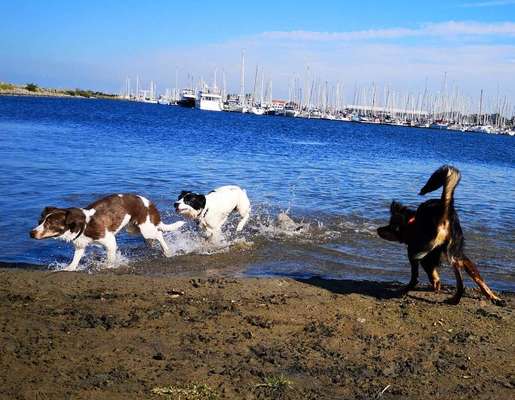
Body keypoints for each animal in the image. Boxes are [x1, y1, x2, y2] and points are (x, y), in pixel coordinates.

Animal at [29, 195, 184, 272]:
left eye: (50, 224)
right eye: (40, 221)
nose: (31, 233)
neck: (83, 224)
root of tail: (149, 202)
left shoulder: (109, 241)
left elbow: (110, 258)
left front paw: (109, 266)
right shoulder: (80, 244)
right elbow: (75, 259)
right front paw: (69, 268)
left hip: (146, 228)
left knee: (159, 234)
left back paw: (167, 251)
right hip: (133, 228)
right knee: (151, 238)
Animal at [378, 164, 504, 304]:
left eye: (390, 227)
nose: (378, 229)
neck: (413, 222)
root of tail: (444, 209)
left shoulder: (420, 254)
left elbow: (420, 275)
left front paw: (426, 284)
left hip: (421, 250)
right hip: (456, 252)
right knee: (469, 279)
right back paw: (485, 298)